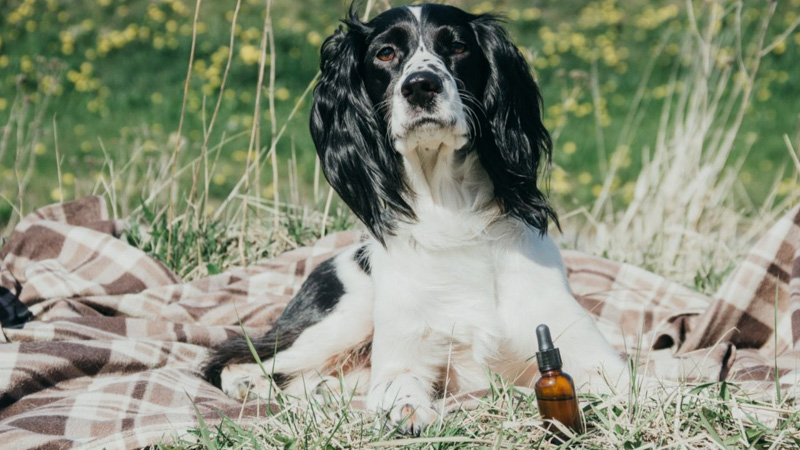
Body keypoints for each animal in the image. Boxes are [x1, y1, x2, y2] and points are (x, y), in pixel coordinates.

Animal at [203, 3, 628, 436]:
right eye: (385, 53)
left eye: (457, 46)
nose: (421, 86)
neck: (451, 211)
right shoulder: (402, 355)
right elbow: (400, 387)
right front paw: (407, 411)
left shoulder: (586, 353)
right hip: (341, 317)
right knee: (231, 358)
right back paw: (250, 385)